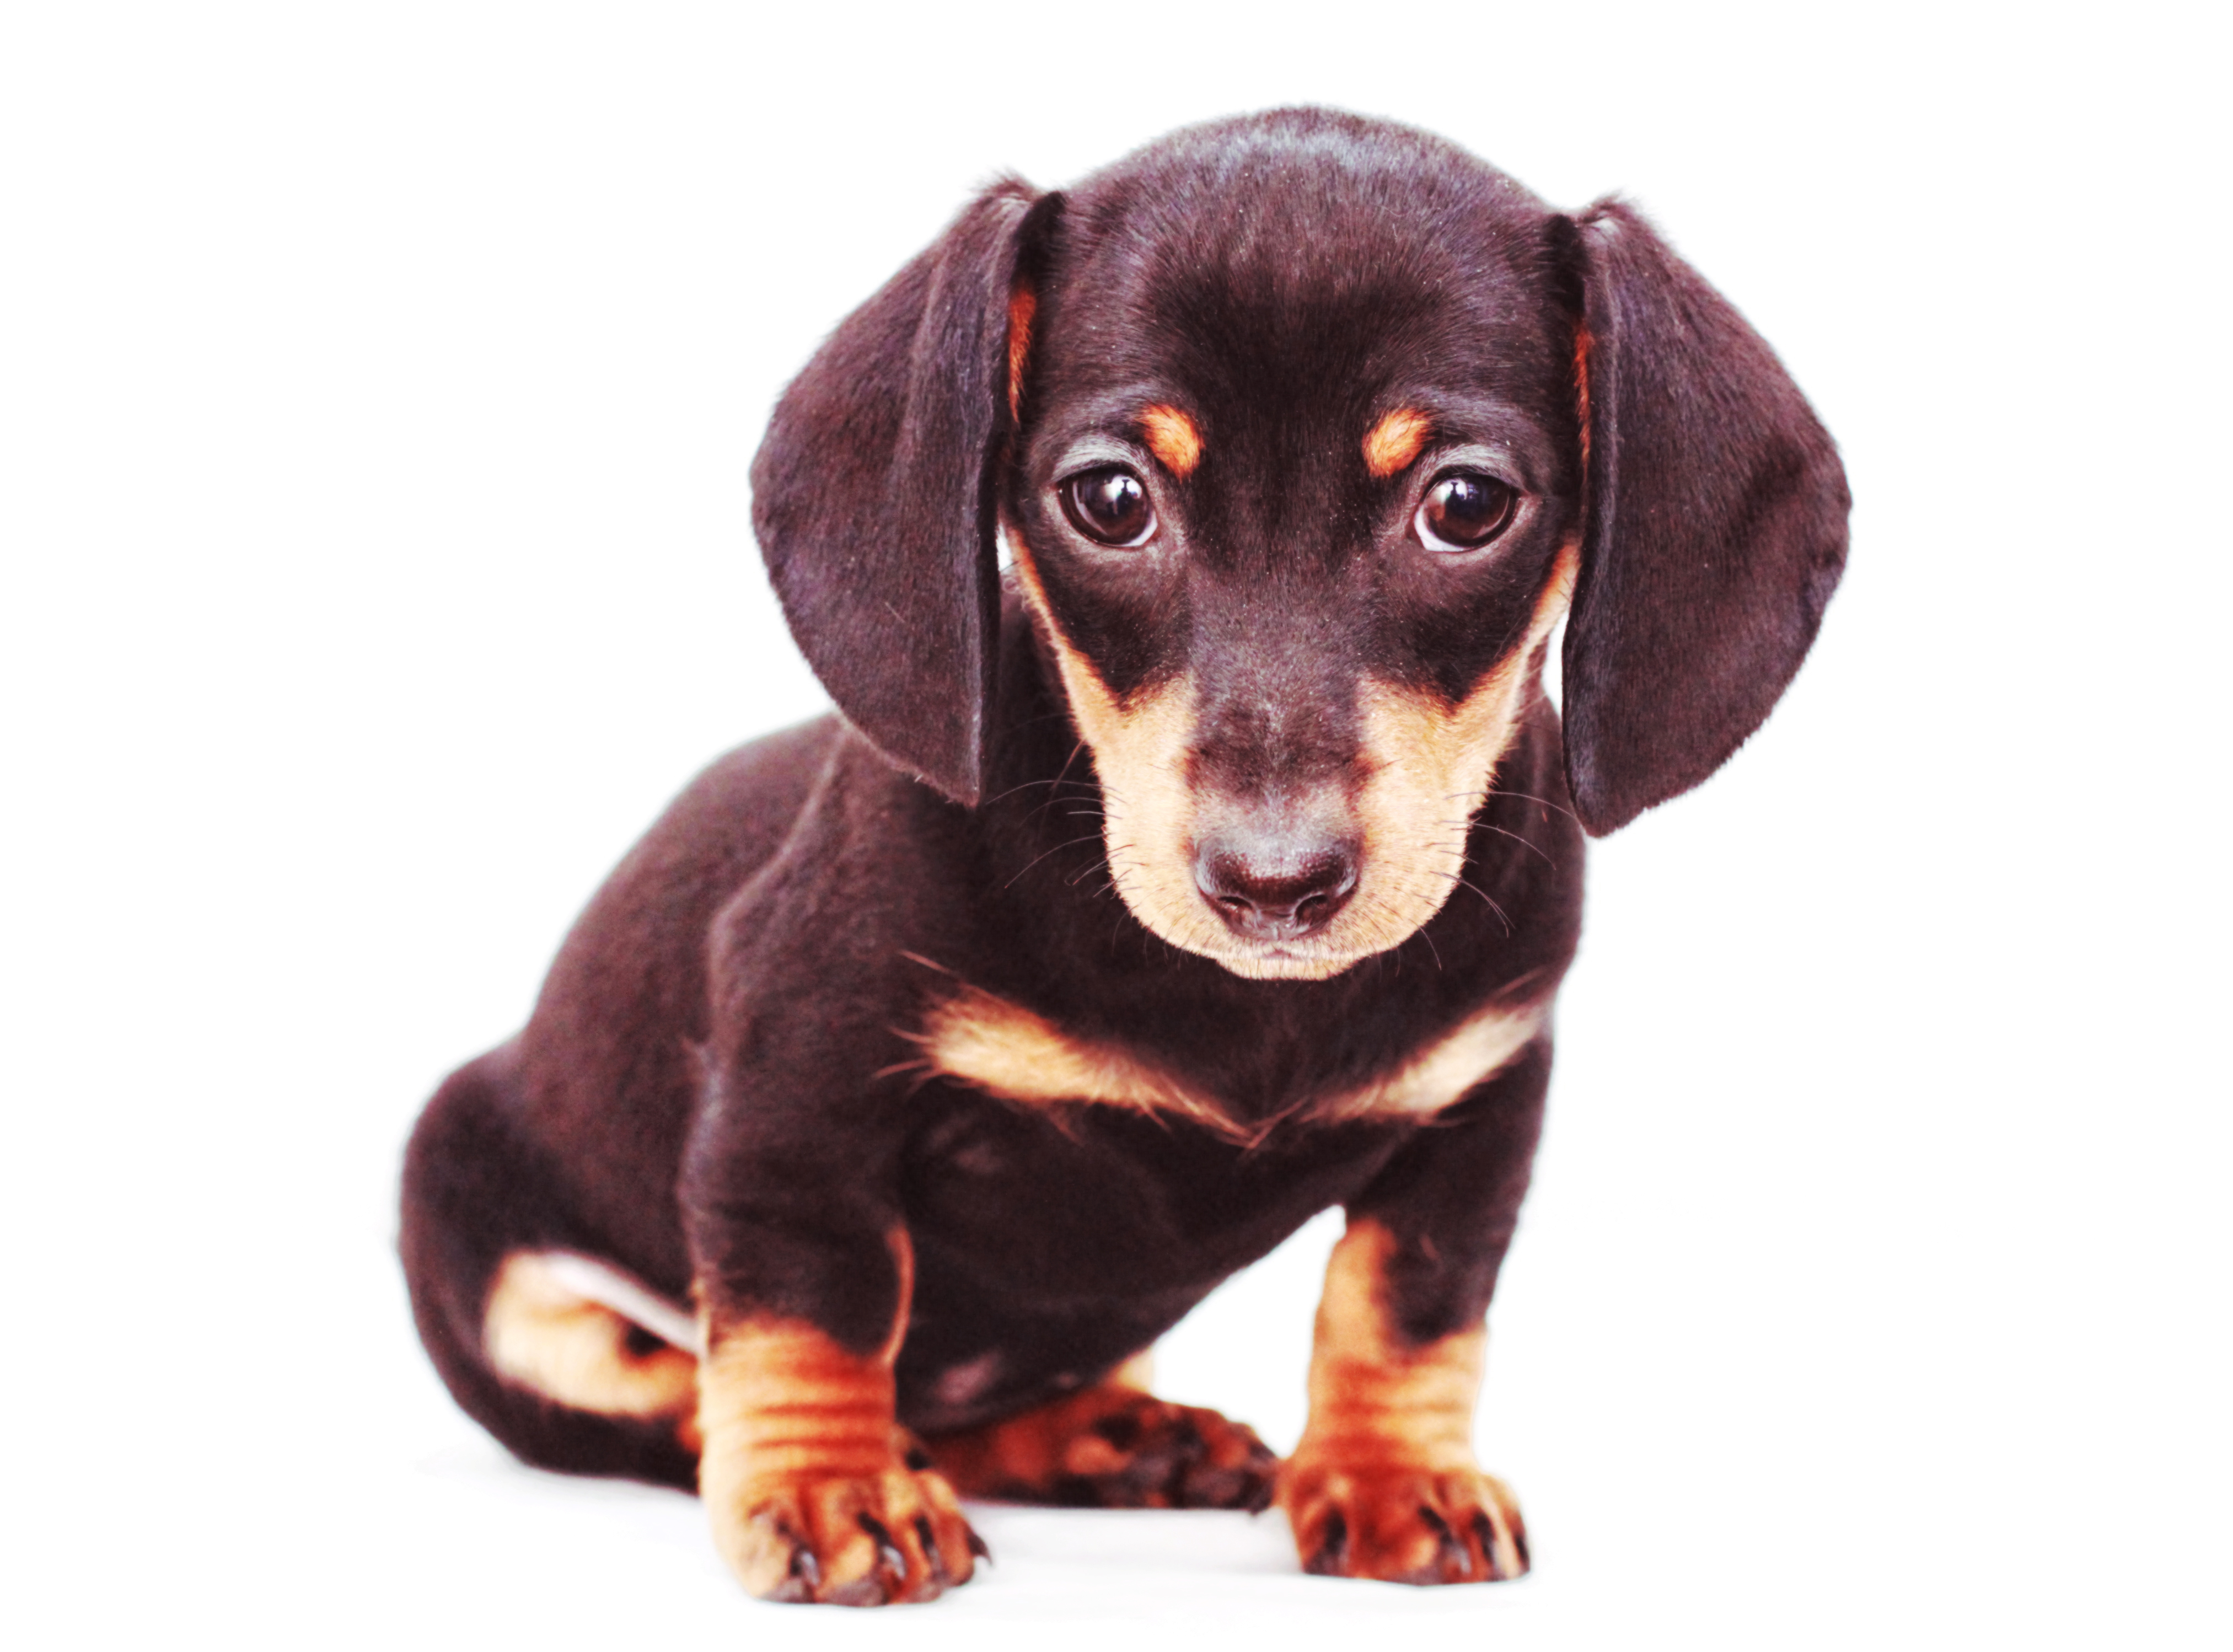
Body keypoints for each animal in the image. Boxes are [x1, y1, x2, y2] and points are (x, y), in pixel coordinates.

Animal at [400, 107, 1847, 1605]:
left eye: (1465, 503)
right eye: (1108, 497)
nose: (1275, 884)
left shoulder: (1483, 1094)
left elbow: (1407, 1298)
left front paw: (1392, 1477)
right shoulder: (803, 1068)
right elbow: (815, 1297)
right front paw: (830, 1484)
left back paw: (1108, 1434)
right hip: (466, 1216)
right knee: (665, 1390)